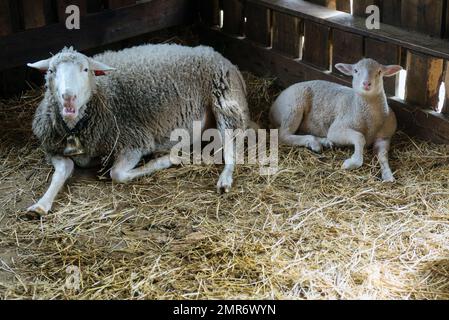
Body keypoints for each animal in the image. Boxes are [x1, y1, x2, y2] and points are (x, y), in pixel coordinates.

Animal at [26, 44, 250, 215]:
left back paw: (224, 179)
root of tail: (219, 55)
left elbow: (117, 174)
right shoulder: (51, 148)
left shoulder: (134, 142)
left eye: (85, 70)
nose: (68, 97)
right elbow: (64, 169)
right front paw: (40, 205)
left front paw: (167, 160)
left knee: (233, 147)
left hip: (225, 101)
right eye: (51, 71)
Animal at [268, 58, 400, 181]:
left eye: (379, 72)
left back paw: (324, 142)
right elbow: (359, 137)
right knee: (283, 135)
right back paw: (314, 142)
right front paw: (351, 163)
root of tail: (273, 106)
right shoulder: (338, 128)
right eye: (356, 70)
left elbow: (383, 155)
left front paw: (388, 175)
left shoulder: (384, 137)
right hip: (294, 106)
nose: (366, 83)